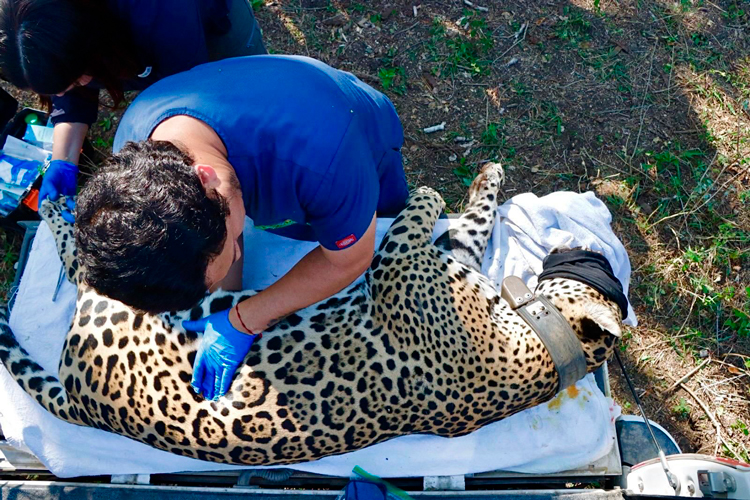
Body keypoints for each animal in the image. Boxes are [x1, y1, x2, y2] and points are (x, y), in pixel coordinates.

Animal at [0, 162, 623, 466]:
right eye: (594, 261)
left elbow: (420, 214)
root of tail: (85, 405)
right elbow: (476, 219)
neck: (543, 340)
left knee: (81, 265)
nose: (583, 245)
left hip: (140, 301)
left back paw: (61, 207)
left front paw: (425, 191)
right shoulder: (448, 260)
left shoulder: (397, 265)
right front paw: (484, 178)